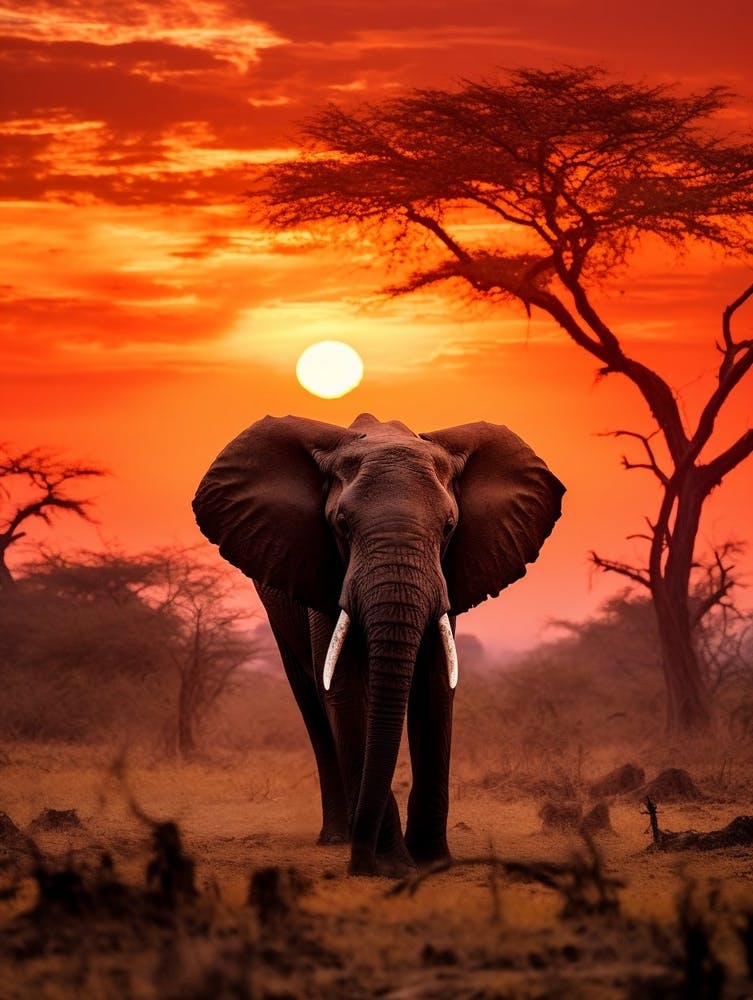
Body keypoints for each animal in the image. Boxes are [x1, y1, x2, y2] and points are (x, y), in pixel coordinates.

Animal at [192, 413, 564, 877]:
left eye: (449, 527)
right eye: (341, 525)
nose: (359, 865)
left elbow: (436, 686)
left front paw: (432, 860)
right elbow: (346, 690)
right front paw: (393, 865)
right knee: (313, 704)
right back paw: (339, 837)